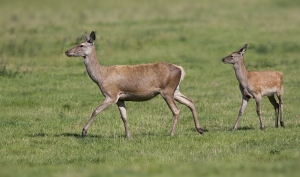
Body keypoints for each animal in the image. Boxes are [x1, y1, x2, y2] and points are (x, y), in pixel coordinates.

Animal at [64, 31, 203, 138]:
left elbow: (95, 110)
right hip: (175, 90)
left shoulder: (111, 94)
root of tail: (180, 69)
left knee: (176, 110)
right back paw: (200, 129)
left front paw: (83, 132)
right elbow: (124, 116)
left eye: (81, 45)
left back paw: (171, 134)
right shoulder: (120, 98)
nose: (66, 51)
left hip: (167, 90)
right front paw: (128, 135)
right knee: (190, 101)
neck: (101, 77)